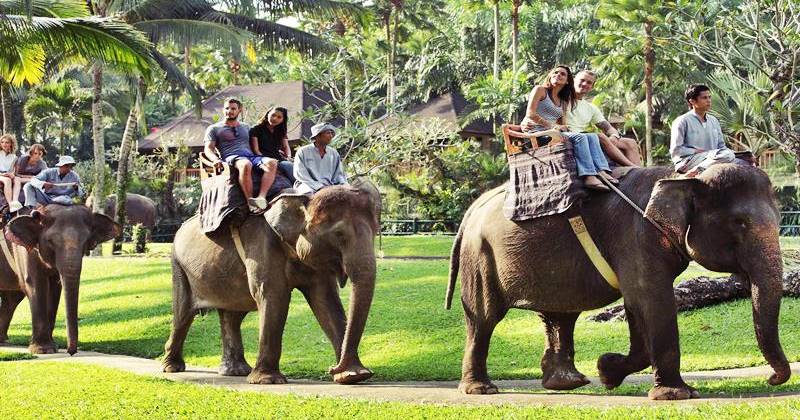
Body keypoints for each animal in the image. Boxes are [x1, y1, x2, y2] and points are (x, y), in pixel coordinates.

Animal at [0, 205, 120, 354]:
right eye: (50, 242)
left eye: (86, 242)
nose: (71, 352)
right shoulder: (24, 251)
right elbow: (35, 284)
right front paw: (43, 350)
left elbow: (55, 289)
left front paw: (52, 347)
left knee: (11, 299)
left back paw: (2, 340)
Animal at [162, 181, 381, 385]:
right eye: (338, 235)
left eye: (375, 231)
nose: (332, 368)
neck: (302, 199)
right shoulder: (262, 245)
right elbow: (274, 296)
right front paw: (268, 380)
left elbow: (326, 301)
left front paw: (353, 376)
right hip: (179, 267)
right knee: (183, 314)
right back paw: (172, 368)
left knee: (232, 316)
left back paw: (236, 371)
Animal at [446, 163, 791, 400]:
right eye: (740, 223)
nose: (772, 379)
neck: (682, 177)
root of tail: (473, 207)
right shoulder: (636, 237)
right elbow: (653, 300)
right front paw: (676, 395)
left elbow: (637, 305)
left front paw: (607, 372)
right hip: (480, 257)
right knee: (484, 318)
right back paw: (481, 390)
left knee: (559, 315)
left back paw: (568, 383)